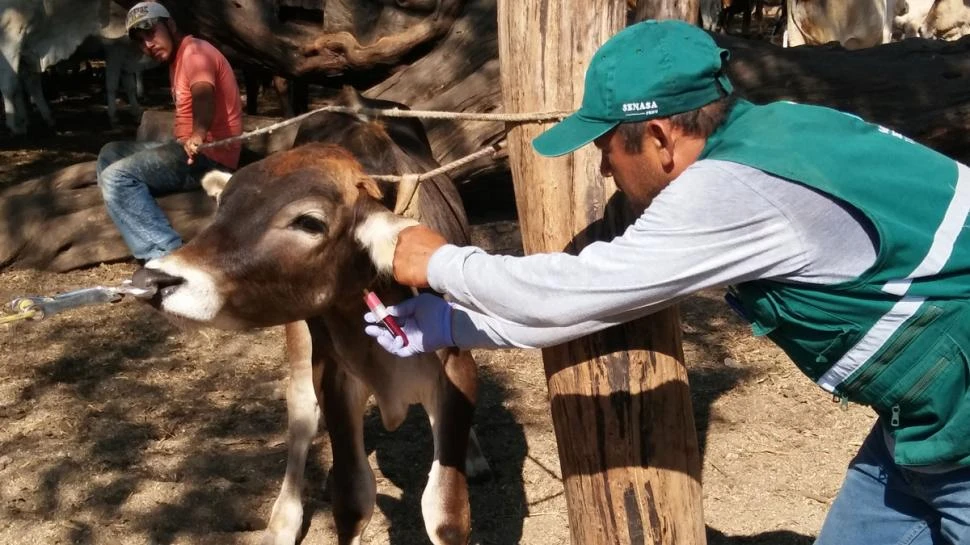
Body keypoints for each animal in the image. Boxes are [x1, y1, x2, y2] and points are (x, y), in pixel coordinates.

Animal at [132, 90, 488, 544]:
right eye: (222, 209)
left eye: (308, 221)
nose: (154, 278)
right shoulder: (335, 377)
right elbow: (353, 498)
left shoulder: (455, 365)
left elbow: (445, 511)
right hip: (301, 339)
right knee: (301, 414)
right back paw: (283, 520)